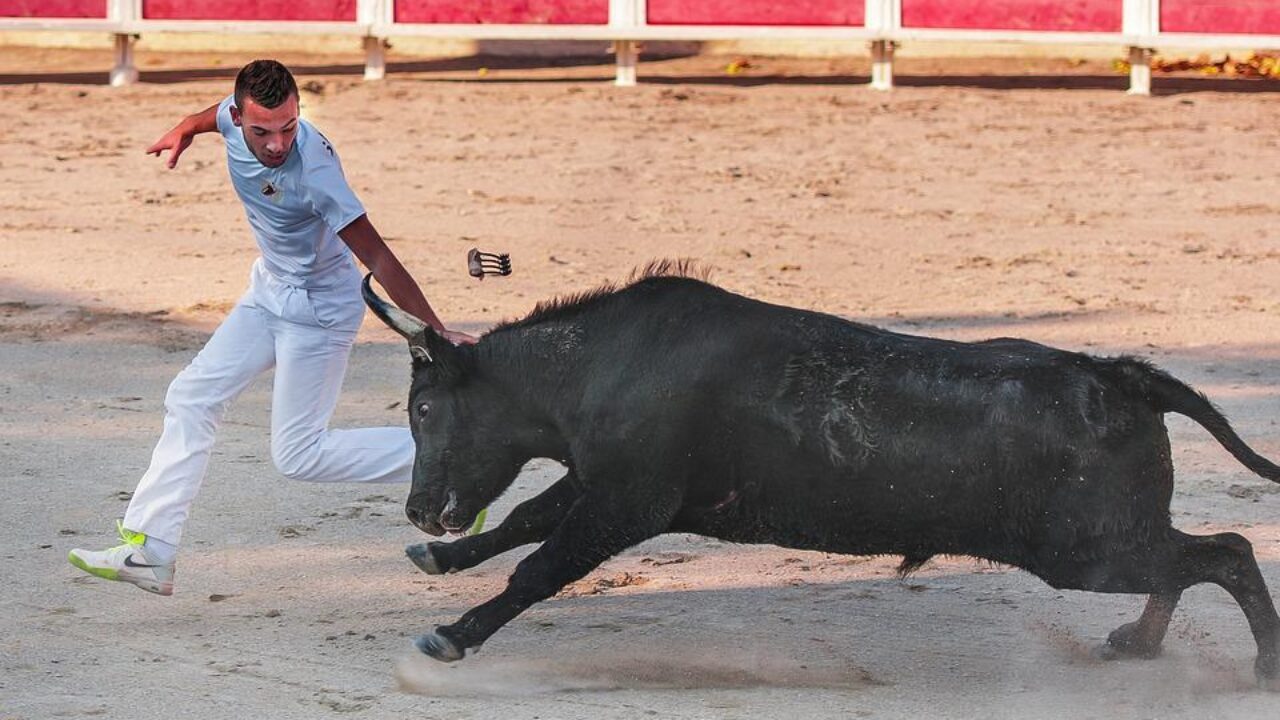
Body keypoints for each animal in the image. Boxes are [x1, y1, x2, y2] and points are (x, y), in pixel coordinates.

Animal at [360, 266, 1280, 681]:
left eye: (424, 408)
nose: (420, 513)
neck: (598, 365)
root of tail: (1120, 374)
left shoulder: (627, 502)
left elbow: (539, 568)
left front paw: (450, 635)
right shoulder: (602, 485)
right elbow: (524, 523)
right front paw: (439, 562)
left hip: (1083, 550)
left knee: (1224, 552)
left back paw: (1259, 667)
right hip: (1104, 542)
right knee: (1192, 560)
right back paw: (1138, 643)